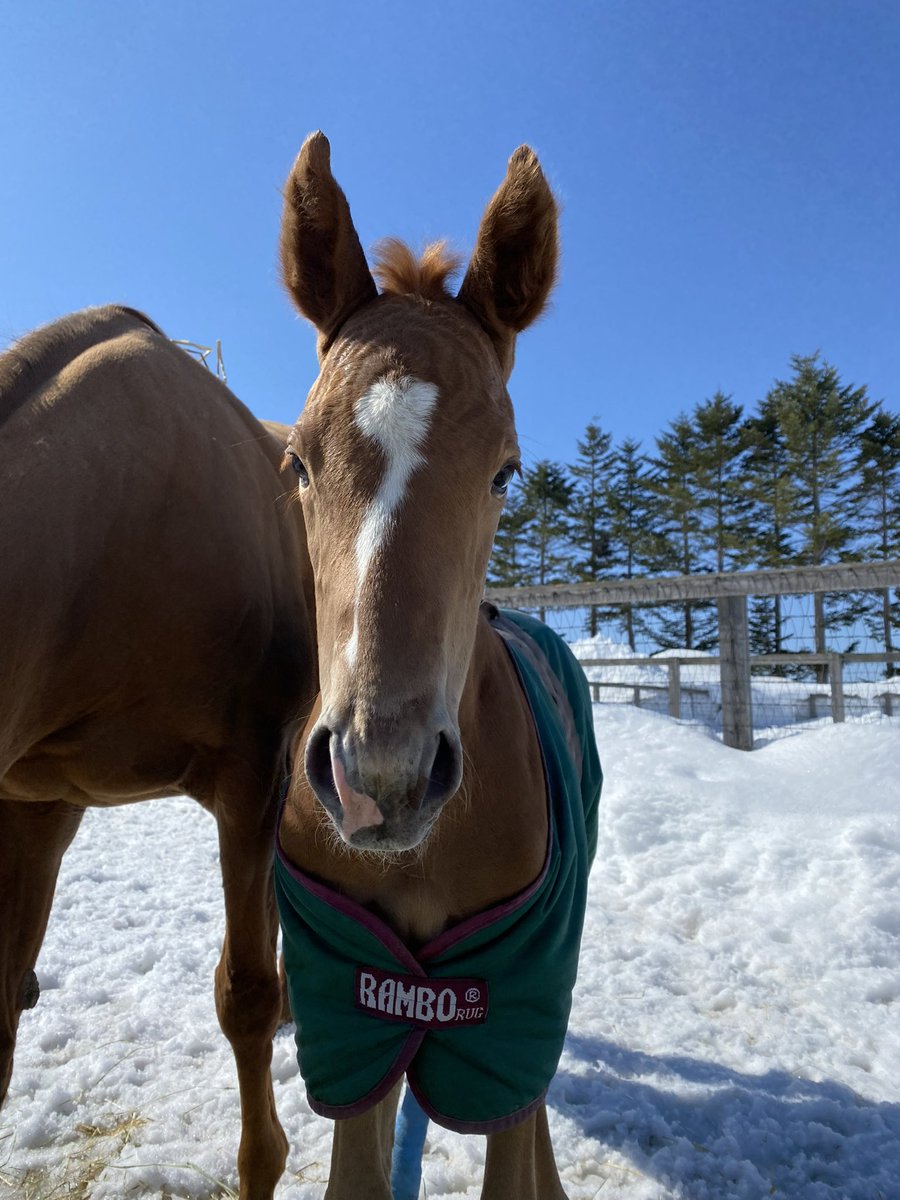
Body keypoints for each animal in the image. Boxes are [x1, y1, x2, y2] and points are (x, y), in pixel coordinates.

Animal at [275, 134, 601, 1199]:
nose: (380, 778)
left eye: (505, 470)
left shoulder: (510, 1008)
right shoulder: (350, 1016)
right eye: (298, 461)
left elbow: (515, 1145)